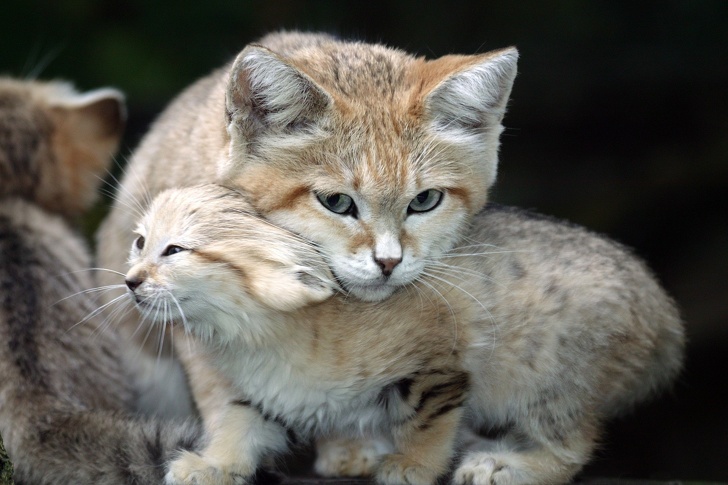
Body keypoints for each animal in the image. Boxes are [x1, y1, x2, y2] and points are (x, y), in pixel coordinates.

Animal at [122, 183, 684, 482]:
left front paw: (414, 463)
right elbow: (238, 424)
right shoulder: (268, 394)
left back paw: (507, 464)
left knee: (573, 447)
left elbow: (429, 419)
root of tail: (663, 309)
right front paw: (213, 465)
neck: (266, 335)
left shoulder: (438, 362)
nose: (129, 281)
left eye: (174, 251)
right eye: (139, 243)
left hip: (553, 377)